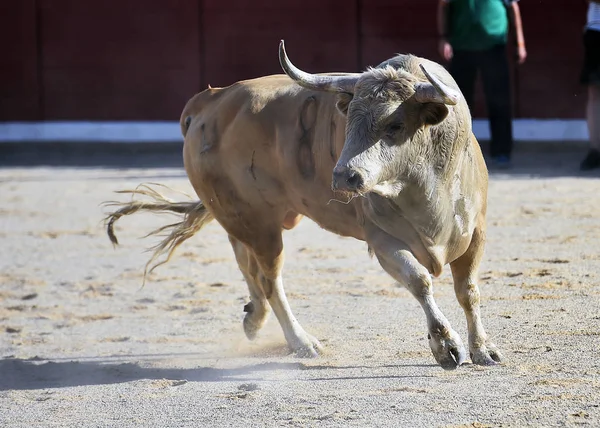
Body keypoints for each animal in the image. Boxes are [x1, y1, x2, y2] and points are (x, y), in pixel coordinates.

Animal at [103, 41, 502, 372]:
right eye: (348, 119)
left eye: (396, 124)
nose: (344, 176)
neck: (425, 185)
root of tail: (211, 101)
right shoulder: (382, 239)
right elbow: (419, 280)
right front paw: (447, 346)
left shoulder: (477, 231)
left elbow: (468, 290)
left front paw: (482, 349)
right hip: (259, 226)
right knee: (268, 278)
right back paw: (301, 341)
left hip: (243, 215)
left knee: (244, 260)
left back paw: (254, 318)